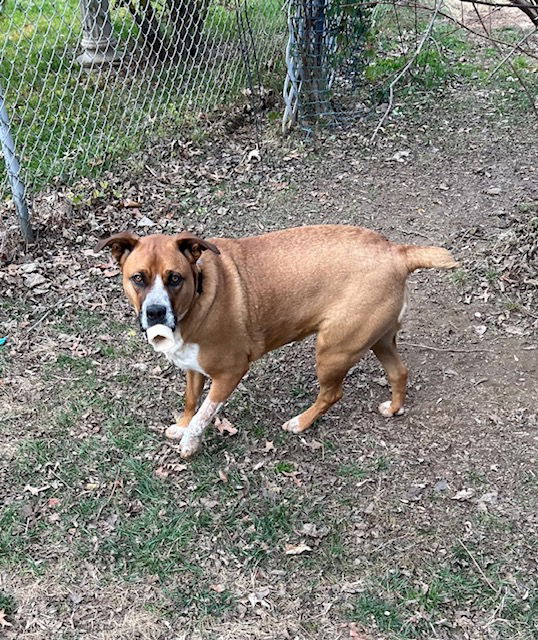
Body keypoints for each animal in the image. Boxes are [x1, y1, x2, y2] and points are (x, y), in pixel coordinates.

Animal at [95, 225, 452, 456]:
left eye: (174, 278)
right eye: (138, 278)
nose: (155, 312)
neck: (199, 294)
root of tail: (397, 252)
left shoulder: (230, 373)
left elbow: (204, 413)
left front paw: (189, 443)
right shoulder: (192, 368)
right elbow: (191, 402)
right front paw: (181, 426)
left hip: (333, 350)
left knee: (333, 393)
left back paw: (300, 423)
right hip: (379, 339)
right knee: (399, 372)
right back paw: (393, 408)